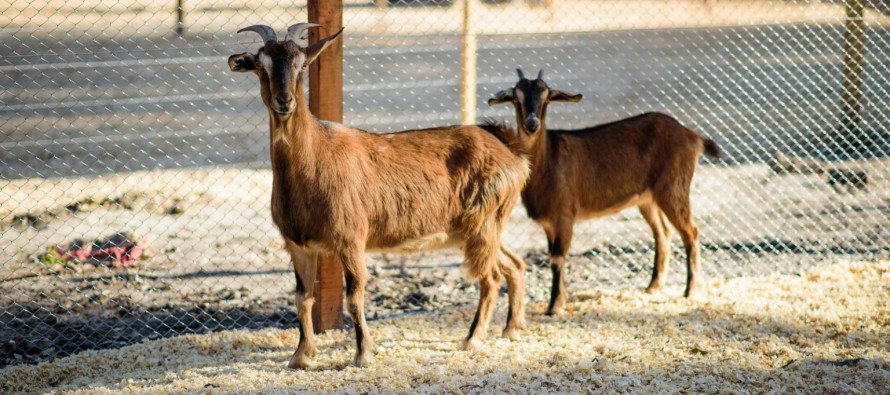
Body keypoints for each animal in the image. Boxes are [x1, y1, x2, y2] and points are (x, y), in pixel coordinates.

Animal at [229, 24, 532, 370]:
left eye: (302, 65)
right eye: (260, 65)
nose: (284, 101)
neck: (314, 159)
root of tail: (513, 152)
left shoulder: (350, 239)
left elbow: (353, 297)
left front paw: (362, 354)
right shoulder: (298, 244)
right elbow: (302, 298)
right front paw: (300, 356)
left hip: (482, 225)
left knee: (491, 278)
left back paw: (472, 338)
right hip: (484, 227)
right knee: (514, 265)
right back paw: (511, 329)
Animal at [490, 68, 720, 316]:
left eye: (547, 98)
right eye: (516, 99)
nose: (532, 124)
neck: (548, 160)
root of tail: (692, 136)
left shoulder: (564, 216)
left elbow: (558, 259)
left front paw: (554, 306)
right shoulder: (550, 223)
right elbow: (553, 256)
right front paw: (560, 299)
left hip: (674, 188)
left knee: (690, 231)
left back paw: (691, 290)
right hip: (648, 199)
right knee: (663, 233)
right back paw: (653, 286)